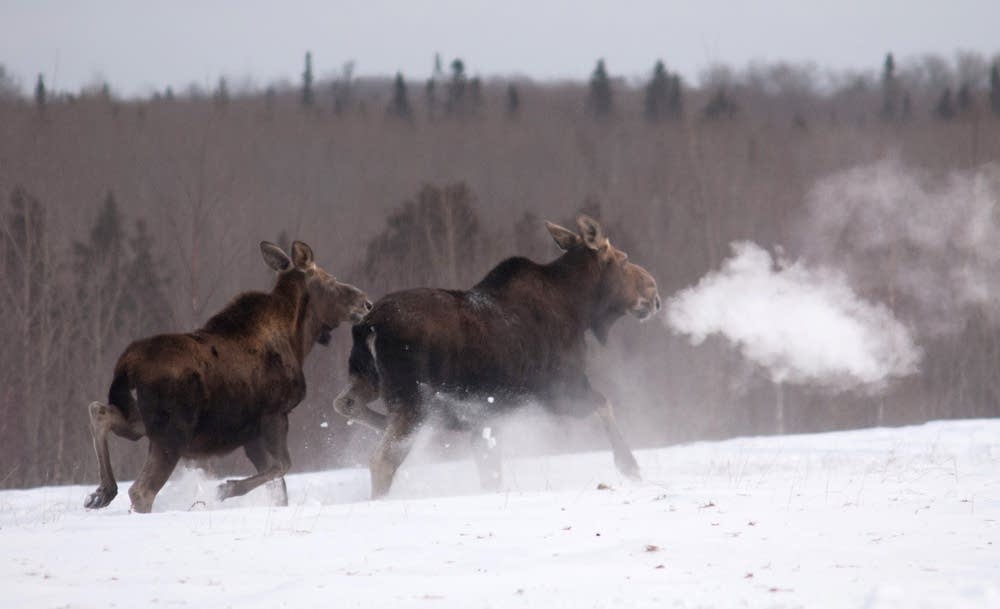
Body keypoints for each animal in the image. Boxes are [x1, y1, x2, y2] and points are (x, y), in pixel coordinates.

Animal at [85, 240, 372, 510]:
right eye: (330, 280)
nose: (366, 303)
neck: (298, 340)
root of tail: (126, 365)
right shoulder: (275, 414)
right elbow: (283, 466)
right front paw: (227, 488)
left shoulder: (251, 433)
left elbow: (279, 487)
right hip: (172, 433)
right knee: (141, 490)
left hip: (140, 421)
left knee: (99, 411)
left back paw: (101, 492)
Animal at [336, 216, 660, 496]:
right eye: (623, 259)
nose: (654, 292)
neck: (580, 308)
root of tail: (369, 325)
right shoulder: (561, 390)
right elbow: (605, 404)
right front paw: (630, 467)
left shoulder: (490, 418)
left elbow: (490, 472)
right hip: (412, 401)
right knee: (382, 460)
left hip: (369, 380)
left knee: (346, 404)